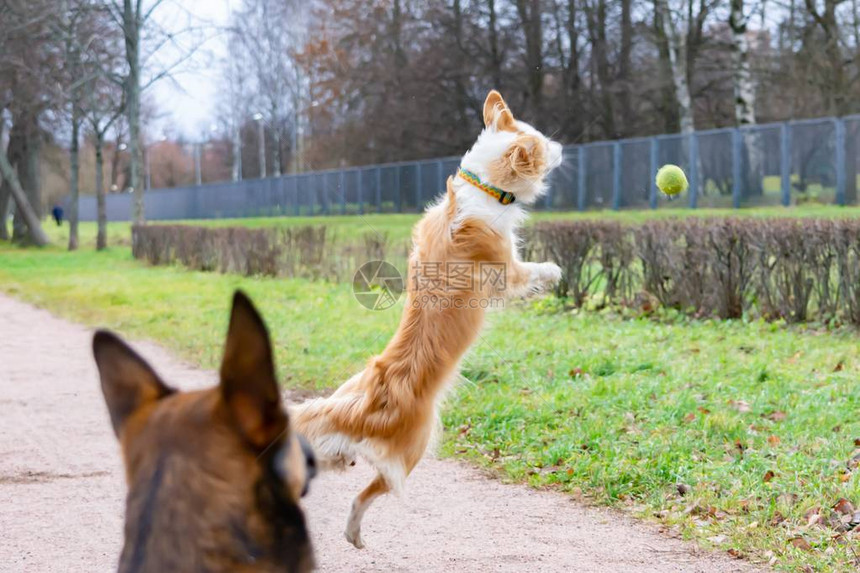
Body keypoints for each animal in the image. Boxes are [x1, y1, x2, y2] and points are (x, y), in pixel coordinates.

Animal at [292, 91, 568, 548]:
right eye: (544, 143)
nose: (563, 146)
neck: (483, 187)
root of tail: (367, 403)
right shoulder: (506, 270)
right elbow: (528, 272)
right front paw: (553, 272)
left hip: (337, 438)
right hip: (416, 446)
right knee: (369, 493)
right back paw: (354, 532)